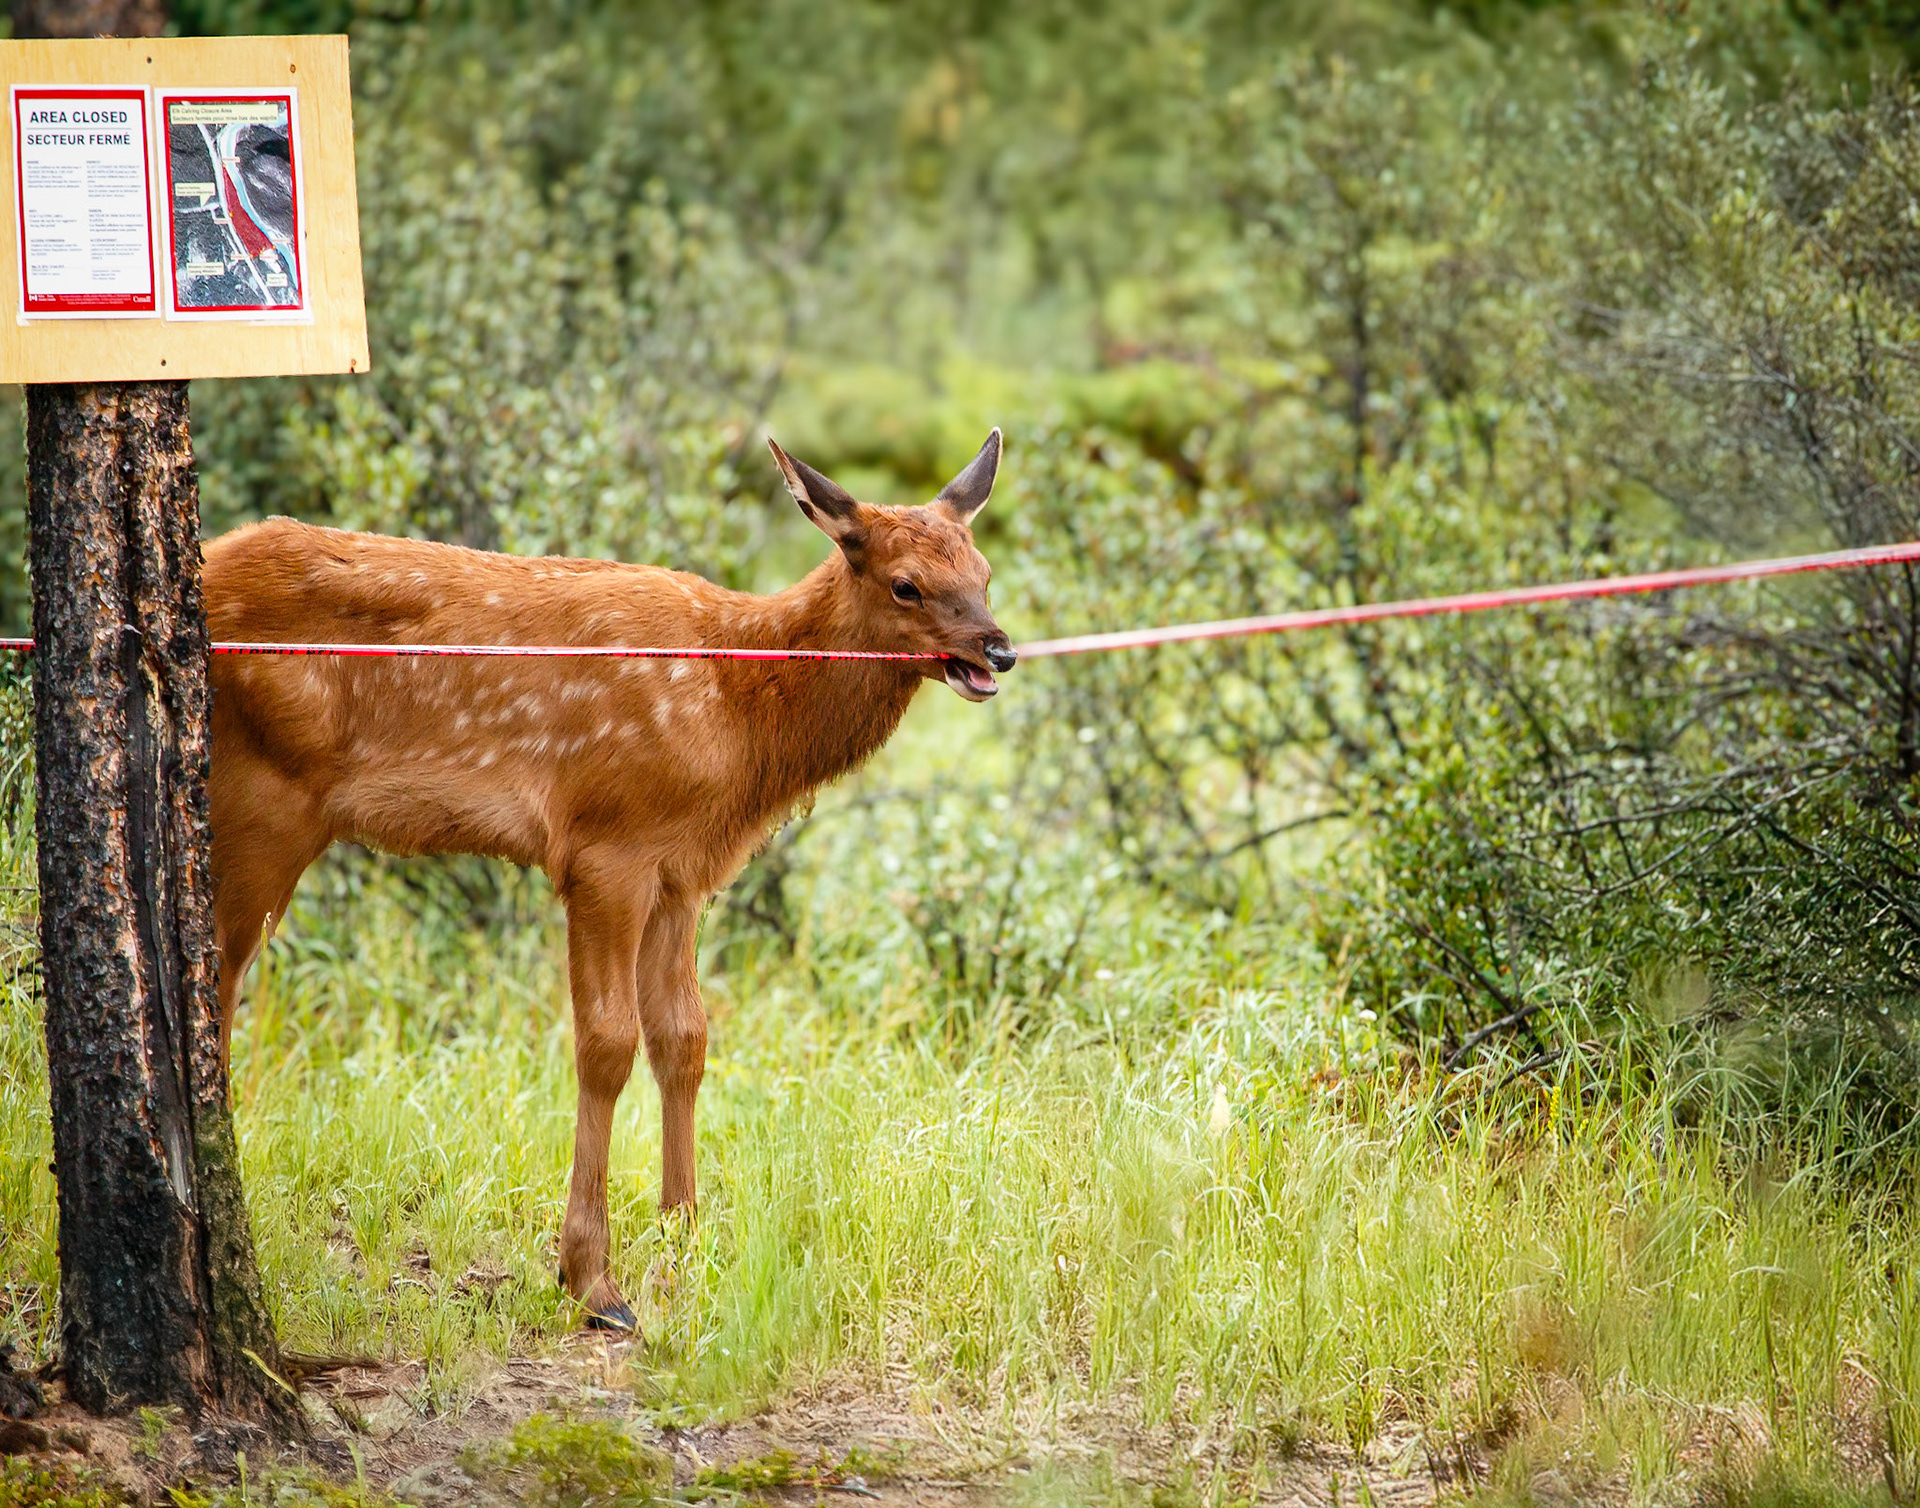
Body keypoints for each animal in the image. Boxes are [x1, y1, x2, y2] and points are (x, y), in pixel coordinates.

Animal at [200, 429, 1014, 1330]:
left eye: (982, 571)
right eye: (907, 584)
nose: (1000, 649)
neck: (737, 712)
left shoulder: (681, 872)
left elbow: (684, 1039)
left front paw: (684, 1246)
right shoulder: (604, 847)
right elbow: (606, 1043)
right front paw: (593, 1280)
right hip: (263, 803)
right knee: (217, 983)